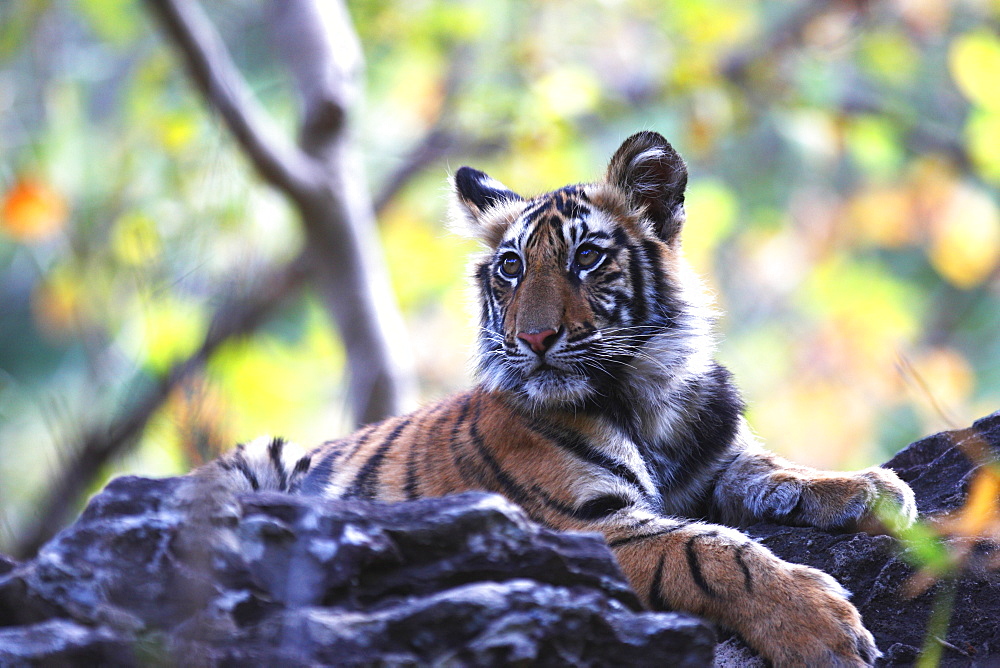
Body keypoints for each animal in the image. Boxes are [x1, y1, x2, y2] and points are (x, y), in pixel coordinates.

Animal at [197, 132, 920, 668]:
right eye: (511, 268)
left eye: (587, 259)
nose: (535, 337)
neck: (647, 393)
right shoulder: (580, 526)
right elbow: (713, 553)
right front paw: (822, 627)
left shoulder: (718, 459)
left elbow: (775, 470)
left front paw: (872, 488)